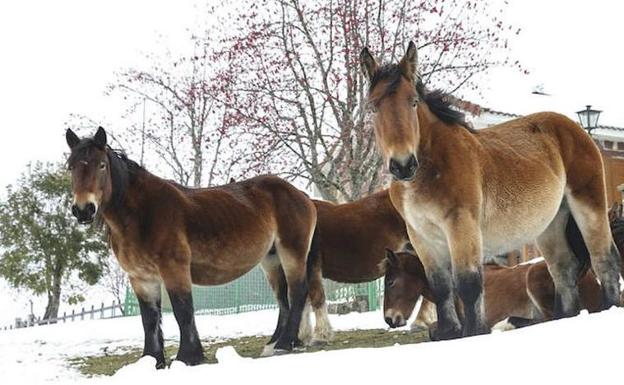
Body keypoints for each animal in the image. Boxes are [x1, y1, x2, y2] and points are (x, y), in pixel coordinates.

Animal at [65, 127, 316, 366]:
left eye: (102, 165)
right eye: (71, 167)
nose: (83, 209)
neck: (142, 215)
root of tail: (301, 195)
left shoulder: (174, 269)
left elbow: (182, 311)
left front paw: (188, 356)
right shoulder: (140, 277)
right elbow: (149, 319)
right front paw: (152, 360)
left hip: (291, 252)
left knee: (297, 292)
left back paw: (285, 343)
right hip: (271, 259)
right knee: (282, 297)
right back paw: (274, 343)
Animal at [358, 40, 620, 338]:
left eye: (413, 102)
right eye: (373, 107)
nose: (402, 165)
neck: (429, 170)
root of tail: (574, 128)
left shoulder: (462, 226)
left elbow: (468, 284)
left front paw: (474, 332)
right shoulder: (422, 237)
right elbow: (441, 288)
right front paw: (449, 333)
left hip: (589, 205)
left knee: (604, 259)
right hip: (551, 223)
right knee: (564, 270)